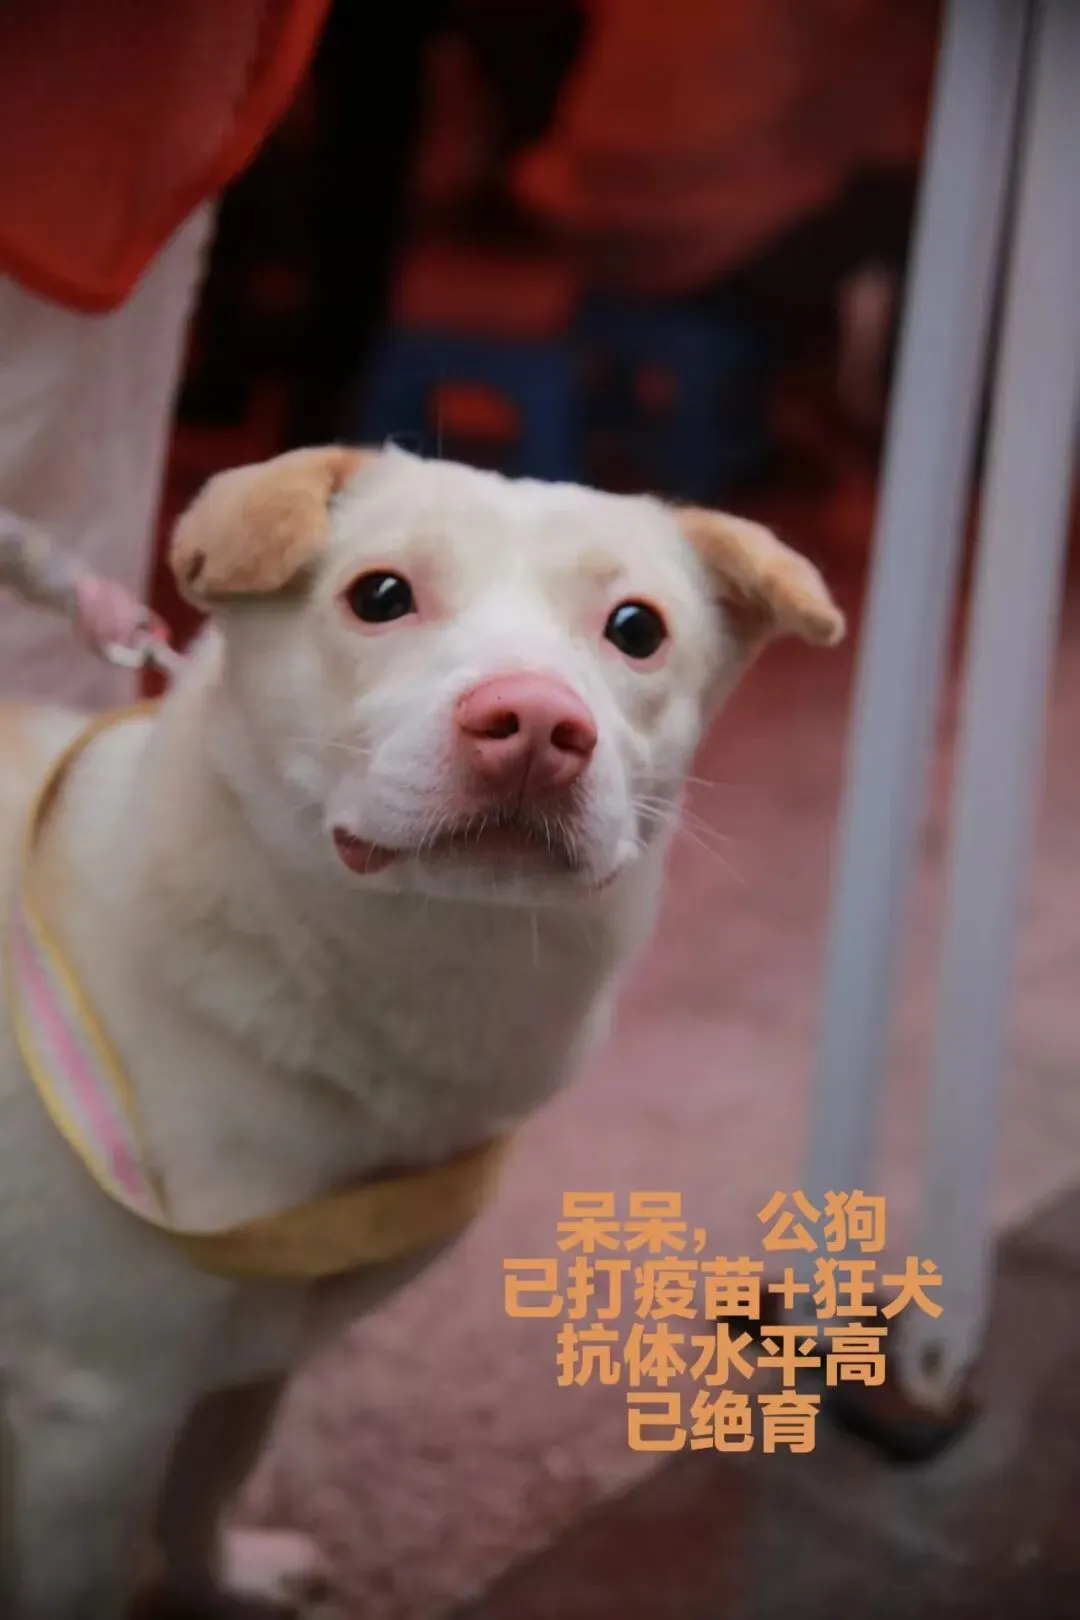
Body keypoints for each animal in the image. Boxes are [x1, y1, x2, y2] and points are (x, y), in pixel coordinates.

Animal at [0, 445, 843, 1618]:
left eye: (637, 628)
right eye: (381, 595)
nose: (535, 727)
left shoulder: (255, 1352)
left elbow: (210, 1478)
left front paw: (225, 1580)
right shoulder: (93, 1410)